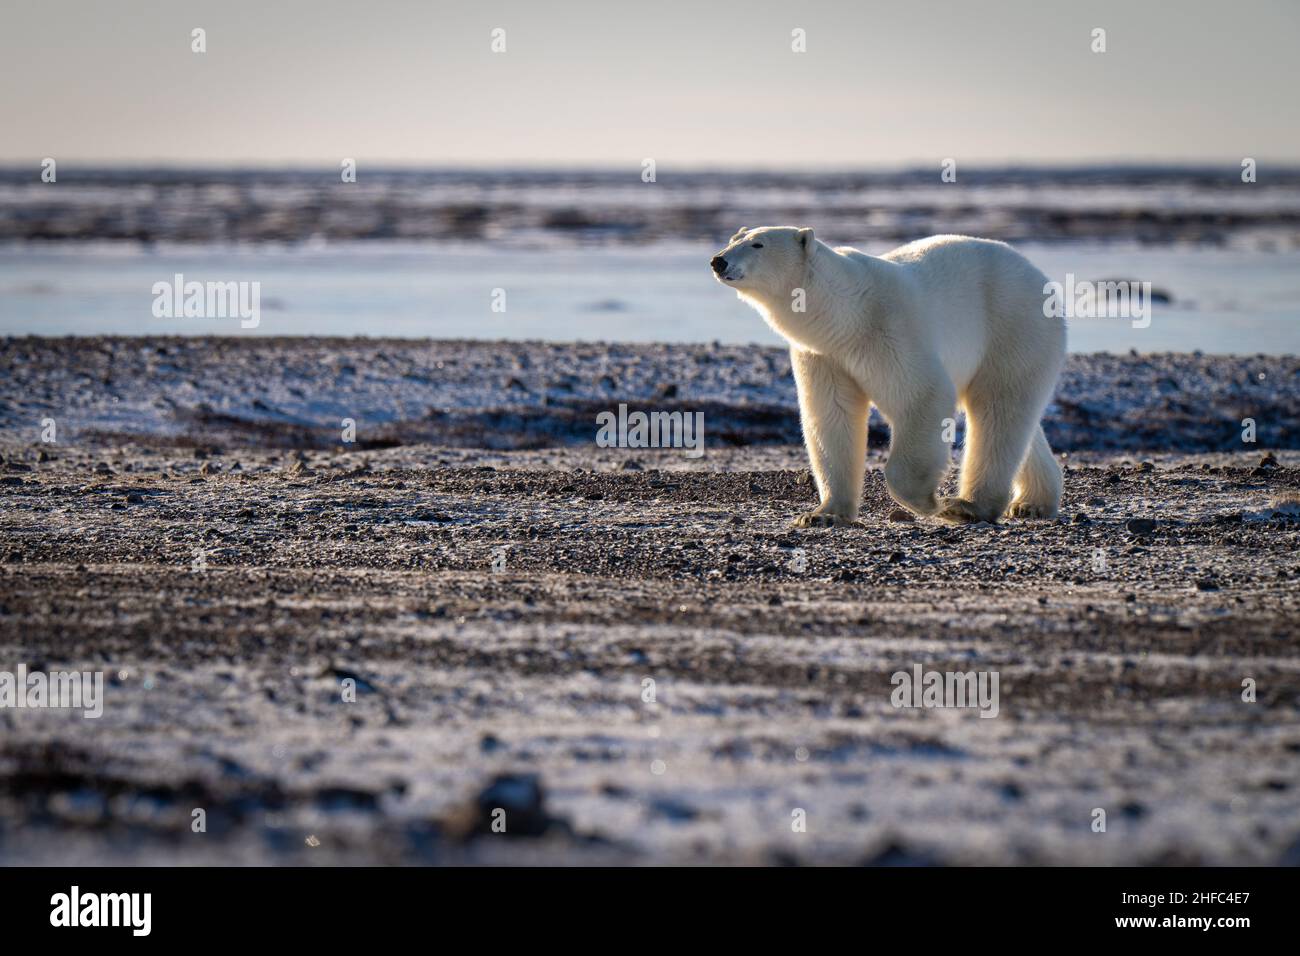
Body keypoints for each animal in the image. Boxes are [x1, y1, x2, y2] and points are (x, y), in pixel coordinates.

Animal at [710, 227, 1065, 526]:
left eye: (757, 244)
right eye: (734, 237)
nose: (718, 260)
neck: (846, 315)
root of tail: (1040, 278)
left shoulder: (890, 330)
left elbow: (923, 396)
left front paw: (927, 501)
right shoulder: (824, 355)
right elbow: (831, 416)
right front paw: (823, 514)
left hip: (1012, 325)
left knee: (998, 408)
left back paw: (968, 506)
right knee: (1016, 418)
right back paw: (1032, 502)